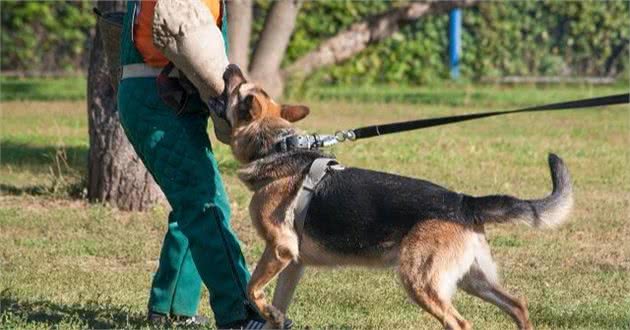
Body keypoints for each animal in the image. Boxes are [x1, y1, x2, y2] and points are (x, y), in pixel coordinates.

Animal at [222, 65, 572, 330]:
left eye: (236, 88)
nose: (231, 67)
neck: (279, 147)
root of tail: (464, 201)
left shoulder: (280, 249)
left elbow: (252, 288)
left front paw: (264, 308)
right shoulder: (294, 263)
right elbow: (275, 311)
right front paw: (273, 315)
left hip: (420, 279)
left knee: (461, 323)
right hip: (473, 280)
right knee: (517, 305)